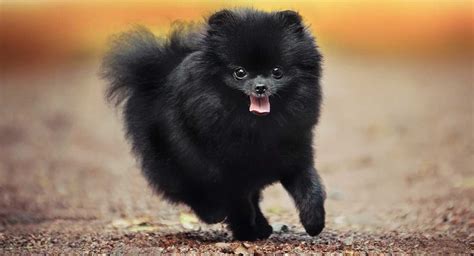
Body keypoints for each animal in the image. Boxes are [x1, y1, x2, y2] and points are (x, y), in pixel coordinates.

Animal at [103, 8, 326, 240]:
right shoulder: (226, 168)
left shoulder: (295, 155)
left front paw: (314, 222)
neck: (256, 126)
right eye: (240, 72)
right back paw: (216, 214)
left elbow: (311, 188)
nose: (260, 87)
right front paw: (245, 231)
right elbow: (239, 203)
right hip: (175, 159)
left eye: (277, 71)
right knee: (192, 190)